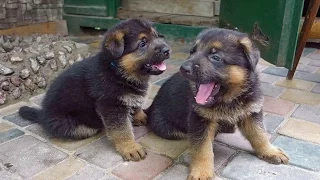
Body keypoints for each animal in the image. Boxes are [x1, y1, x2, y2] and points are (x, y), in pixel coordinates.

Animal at [18, 18, 171, 162]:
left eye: (156, 36)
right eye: (142, 44)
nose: (167, 50)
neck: (117, 70)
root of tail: (42, 115)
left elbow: (136, 103)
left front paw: (140, 115)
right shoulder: (111, 106)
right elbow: (122, 130)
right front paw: (130, 147)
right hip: (77, 126)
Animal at [146, 27, 288, 179]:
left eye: (215, 57)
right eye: (192, 51)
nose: (183, 68)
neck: (229, 99)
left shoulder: (251, 112)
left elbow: (259, 134)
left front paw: (269, 151)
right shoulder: (199, 120)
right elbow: (202, 148)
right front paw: (202, 171)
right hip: (170, 129)